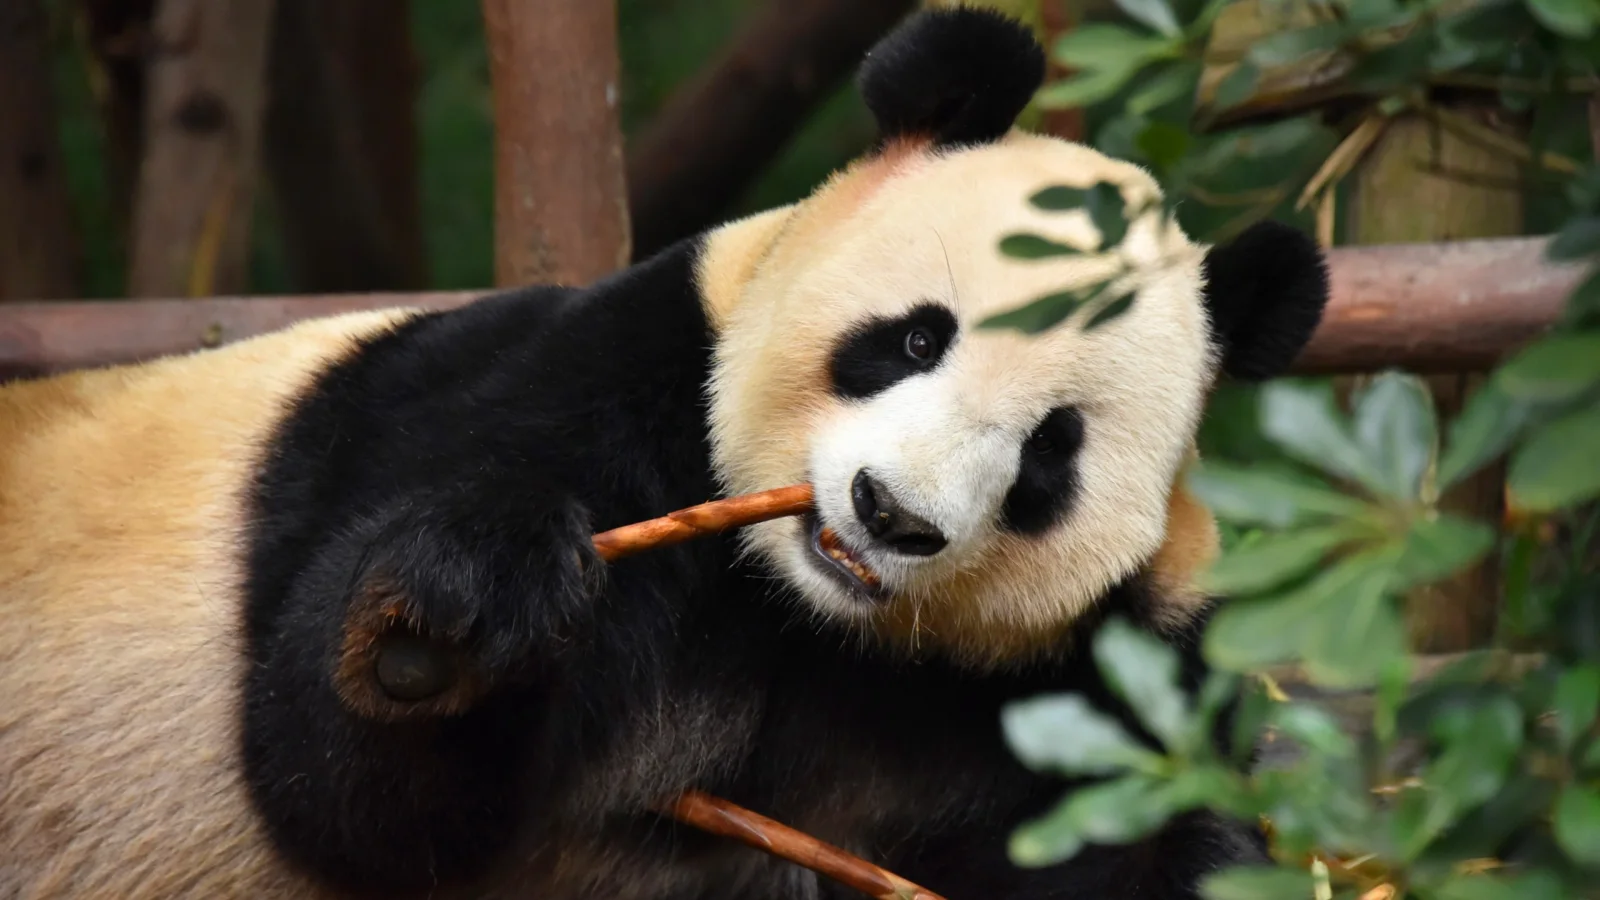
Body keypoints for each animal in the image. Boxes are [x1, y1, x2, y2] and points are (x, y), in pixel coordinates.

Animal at [0, 8, 1329, 900]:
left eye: (1051, 450)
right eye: (913, 339)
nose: (889, 515)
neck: (802, 616)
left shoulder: (1073, 669)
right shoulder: (574, 398)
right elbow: (335, 793)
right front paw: (455, 620)